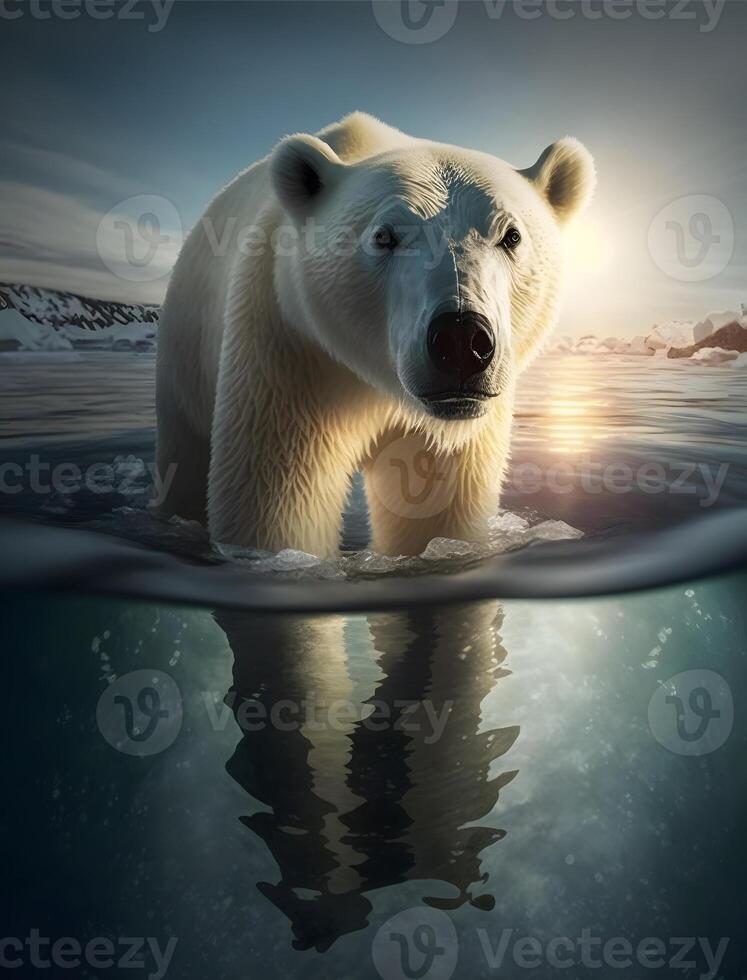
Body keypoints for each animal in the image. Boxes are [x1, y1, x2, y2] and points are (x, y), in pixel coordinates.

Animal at [158, 111, 596, 556]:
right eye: (384, 235)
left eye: (511, 235)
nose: (460, 339)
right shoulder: (290, 352)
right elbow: (274, 504)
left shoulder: (459, 430)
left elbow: (438, 511)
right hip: (185, 358)